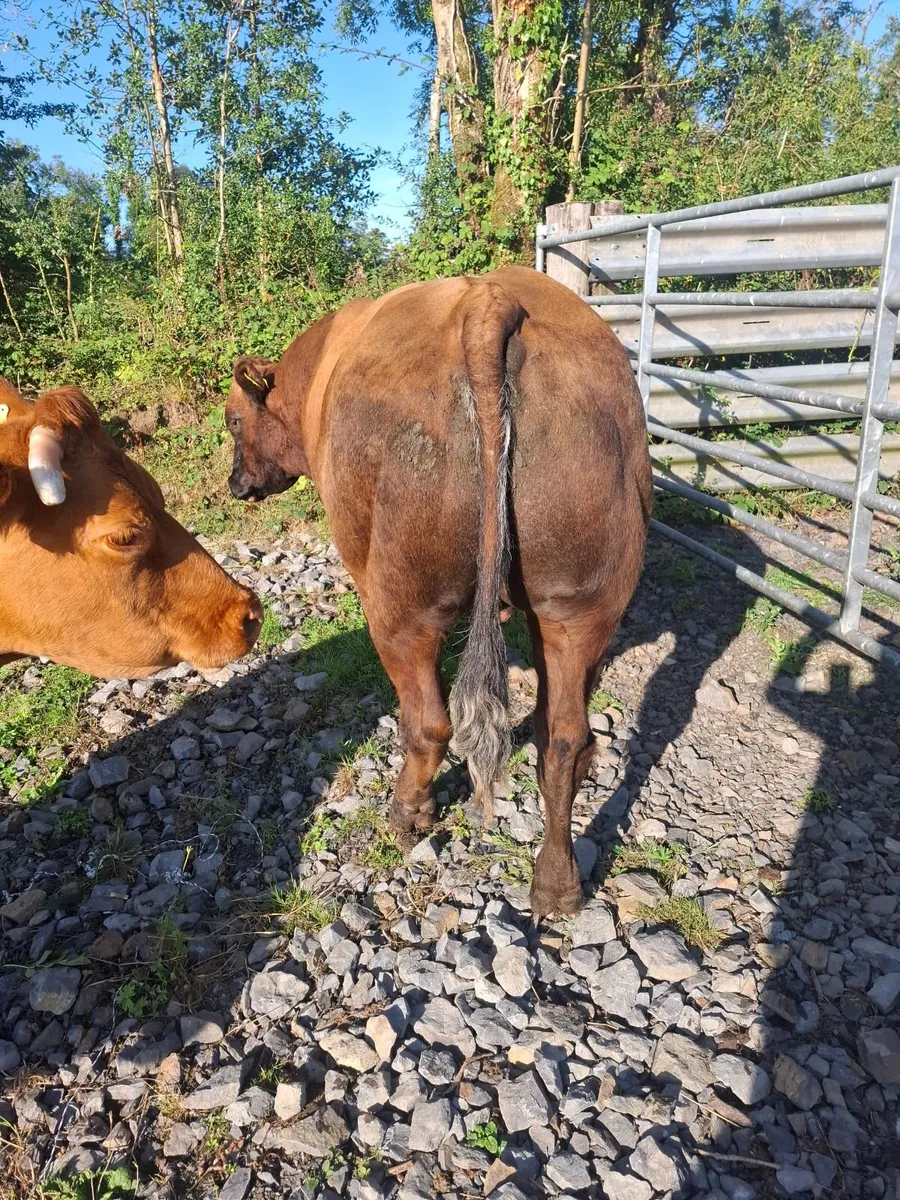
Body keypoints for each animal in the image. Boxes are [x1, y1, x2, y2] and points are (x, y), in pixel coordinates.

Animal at [226, 266, 651, 915]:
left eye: (232, 420)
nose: (233, 482)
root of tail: (488, 303)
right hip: (579, 606)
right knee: (564, 740)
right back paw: (557, 884)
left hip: (404, 605)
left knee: (429, 722)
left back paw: (408, 814)